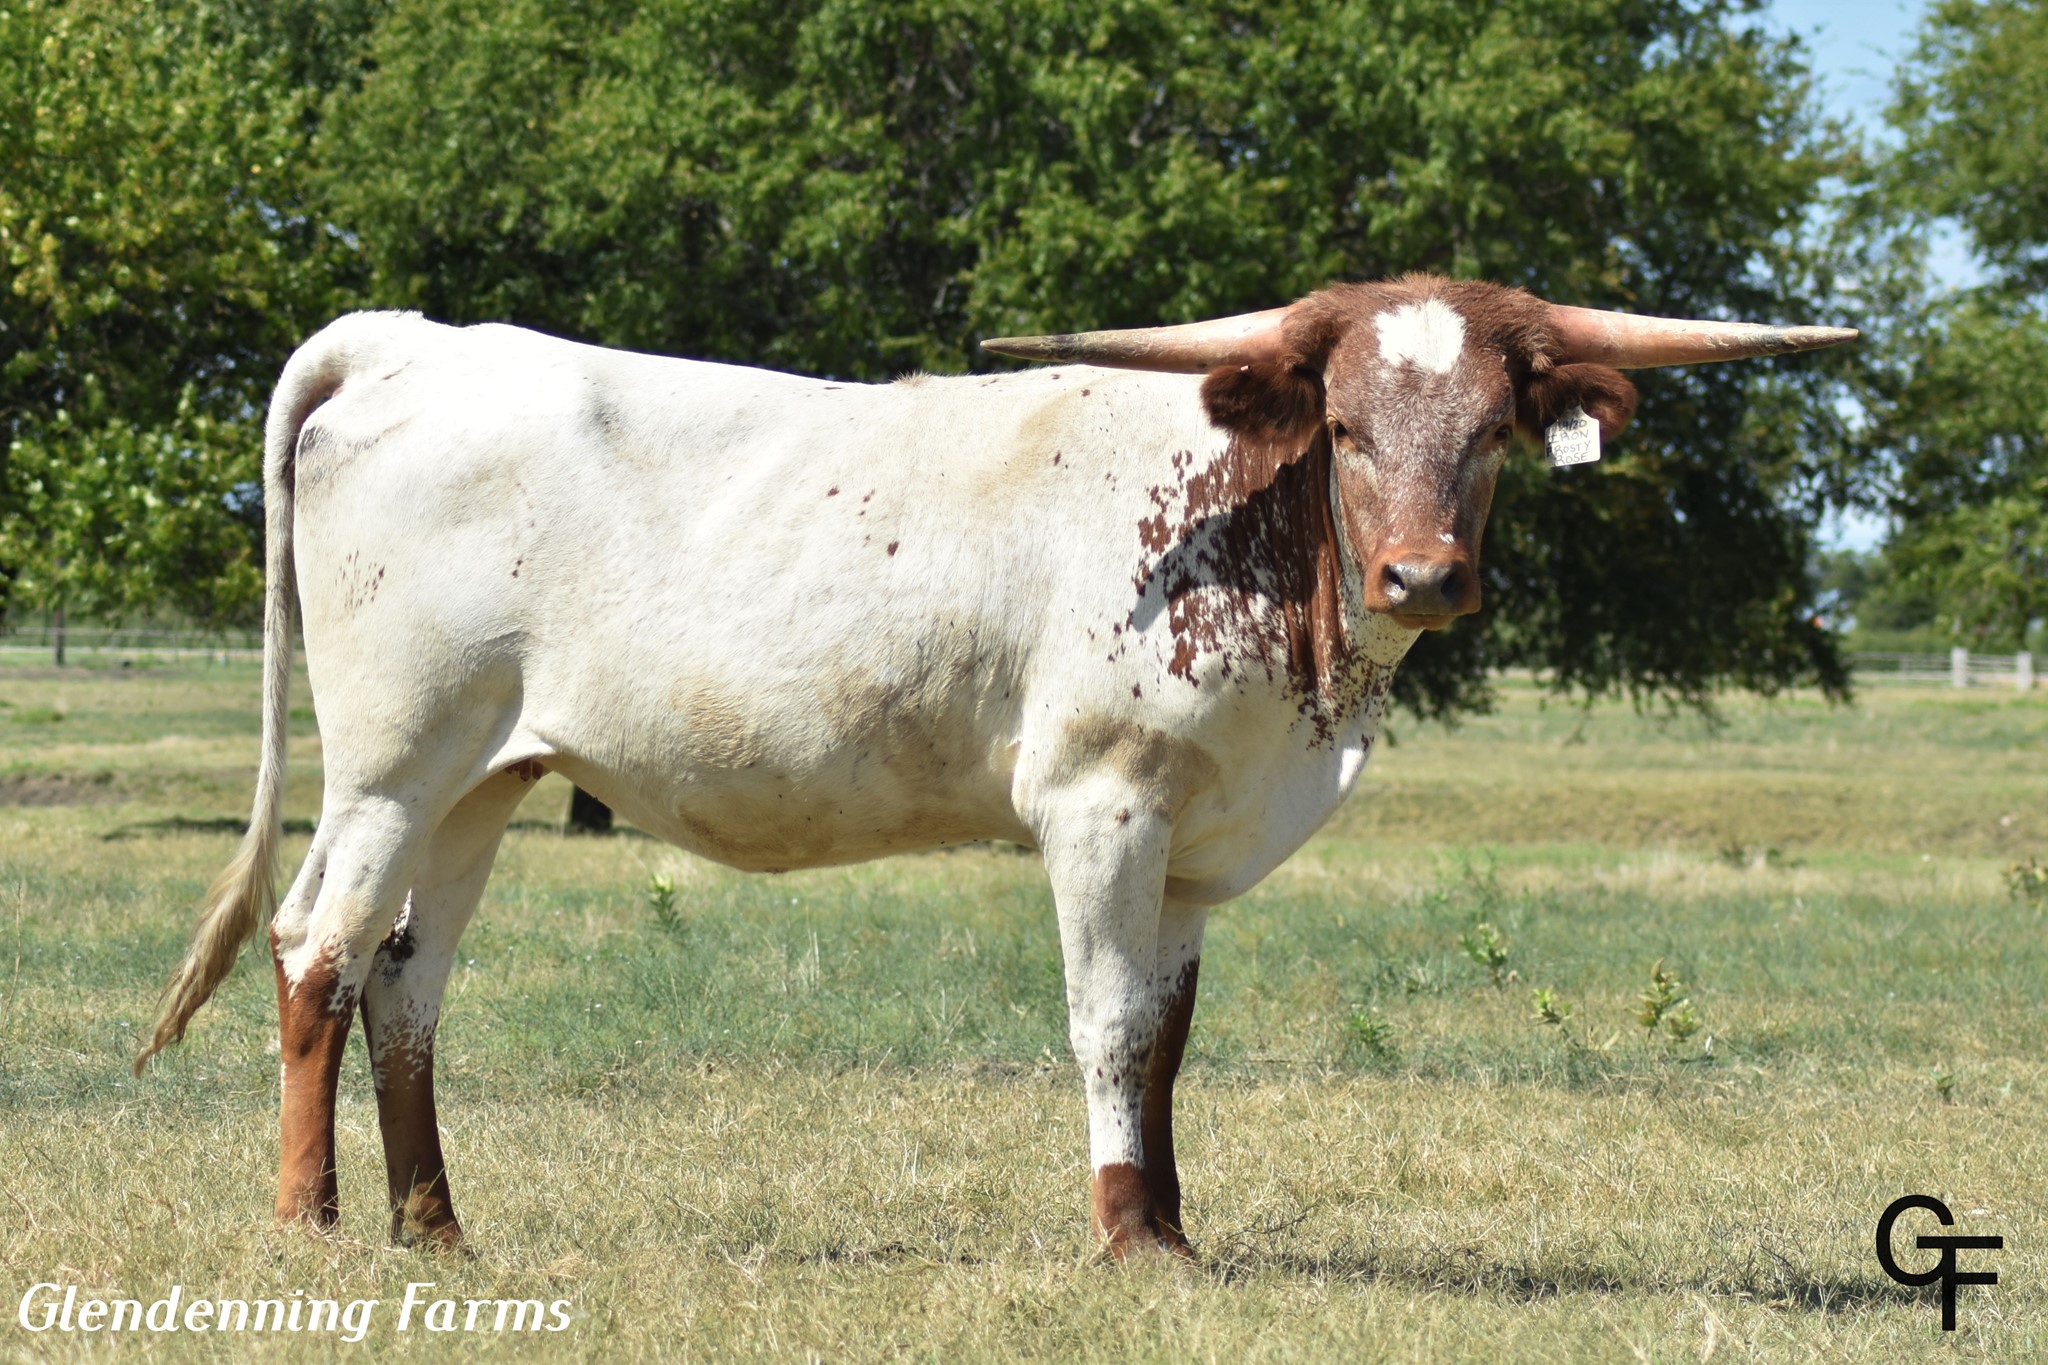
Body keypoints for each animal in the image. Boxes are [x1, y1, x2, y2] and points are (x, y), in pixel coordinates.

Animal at [134, 274, 1853, 1257]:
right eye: (1352, 427)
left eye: (1494, 427)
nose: (1427, 575)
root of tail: (412, 342)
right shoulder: (1102, 803)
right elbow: (1105, 1029)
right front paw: (1118, 1239)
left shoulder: (1196, 842)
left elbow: (1167, 1043)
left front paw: (1175, 1234)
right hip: (389, 763)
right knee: (318, 950)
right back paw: (312, 1224)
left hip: (485, 779)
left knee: (408, 984)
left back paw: (436, 1229)